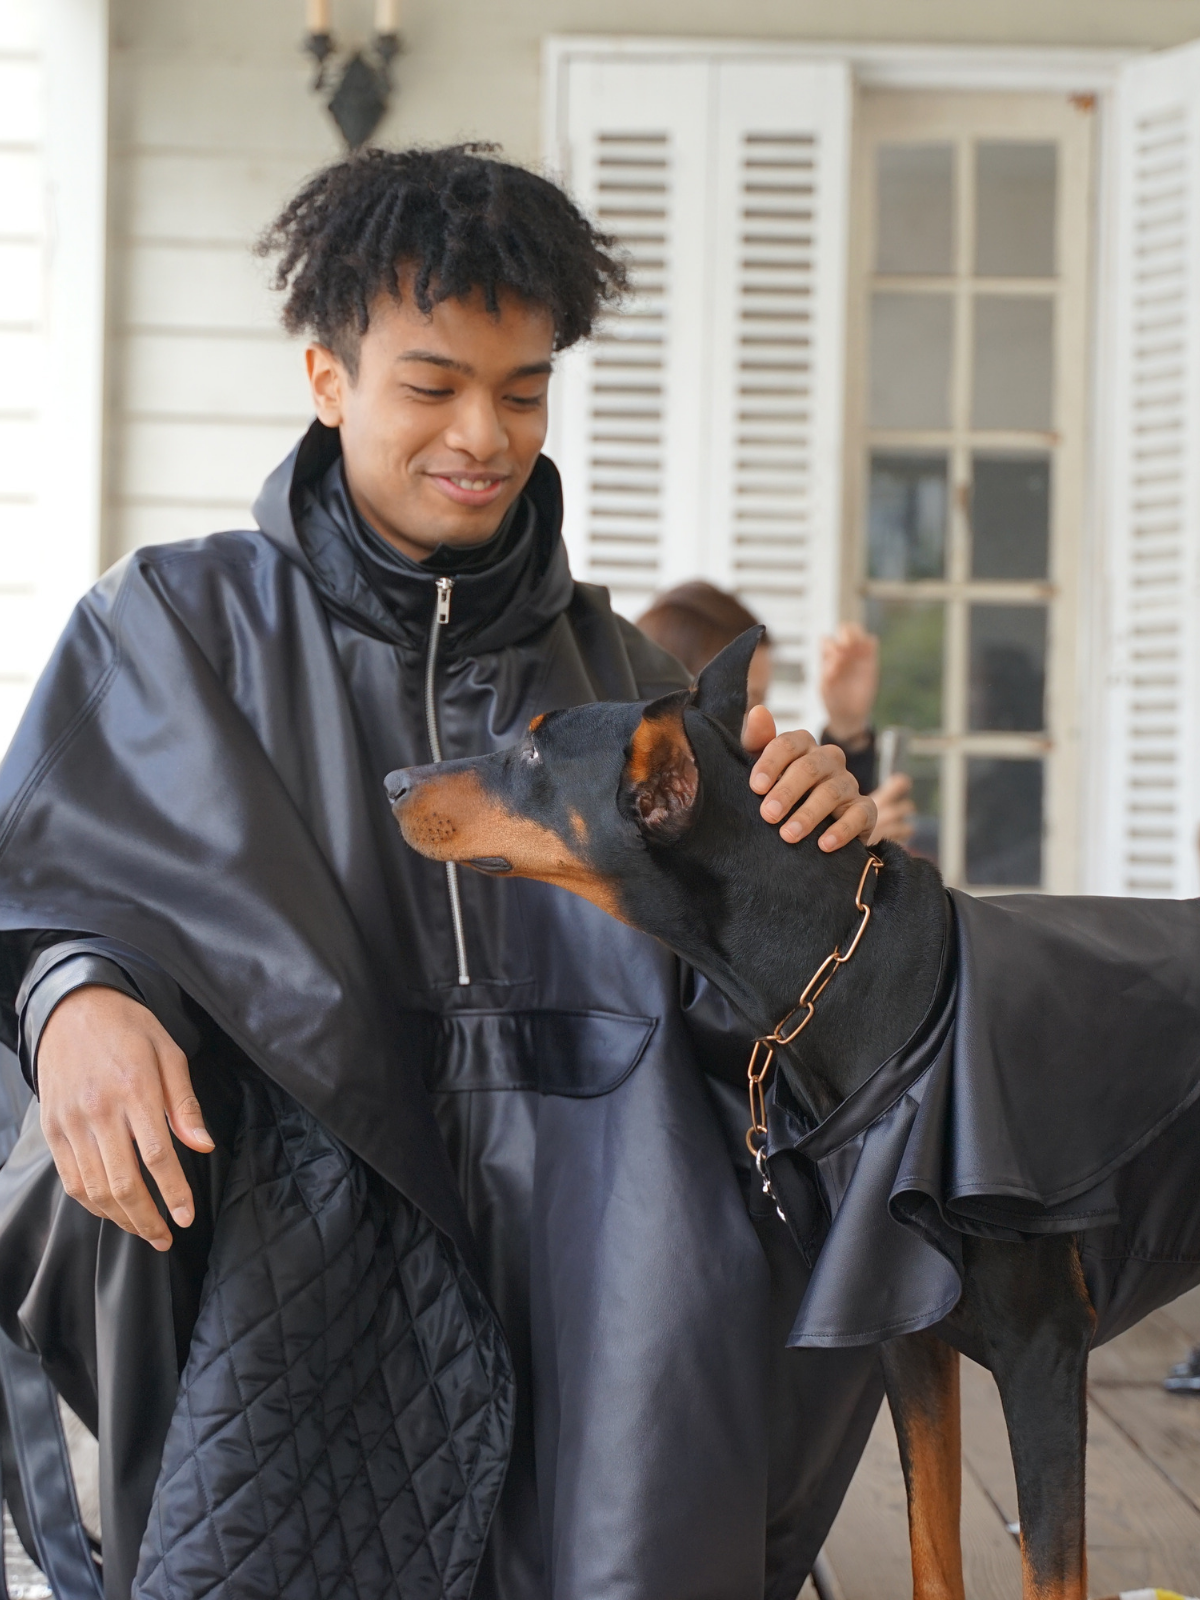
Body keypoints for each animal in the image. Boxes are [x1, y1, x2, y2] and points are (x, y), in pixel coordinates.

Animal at [387, 626, 1200, 1600]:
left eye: (537, 754)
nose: (392, 781)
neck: (851, 976)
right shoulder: (906, 1325)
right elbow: (932, 1545)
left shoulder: (1044, 1348)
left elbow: (1050, 1563)